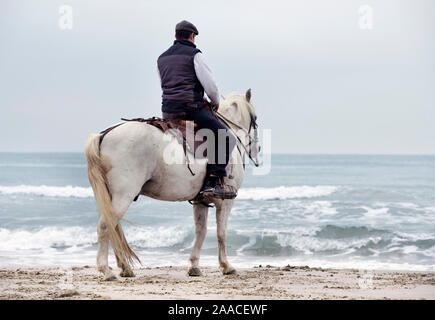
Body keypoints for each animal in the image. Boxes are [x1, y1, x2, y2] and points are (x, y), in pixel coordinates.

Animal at [86, 88, 260, 280]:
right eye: (255, 119)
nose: (258, 149)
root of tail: (104, 135)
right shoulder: (226, 201)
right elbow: (221, 233)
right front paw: (226, 266)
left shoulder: (200, 201)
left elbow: (201, 231)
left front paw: (194, 266)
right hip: (123, 195)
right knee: (105, 226)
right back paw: (106, 270)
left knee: (113, 226)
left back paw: (125, 267)